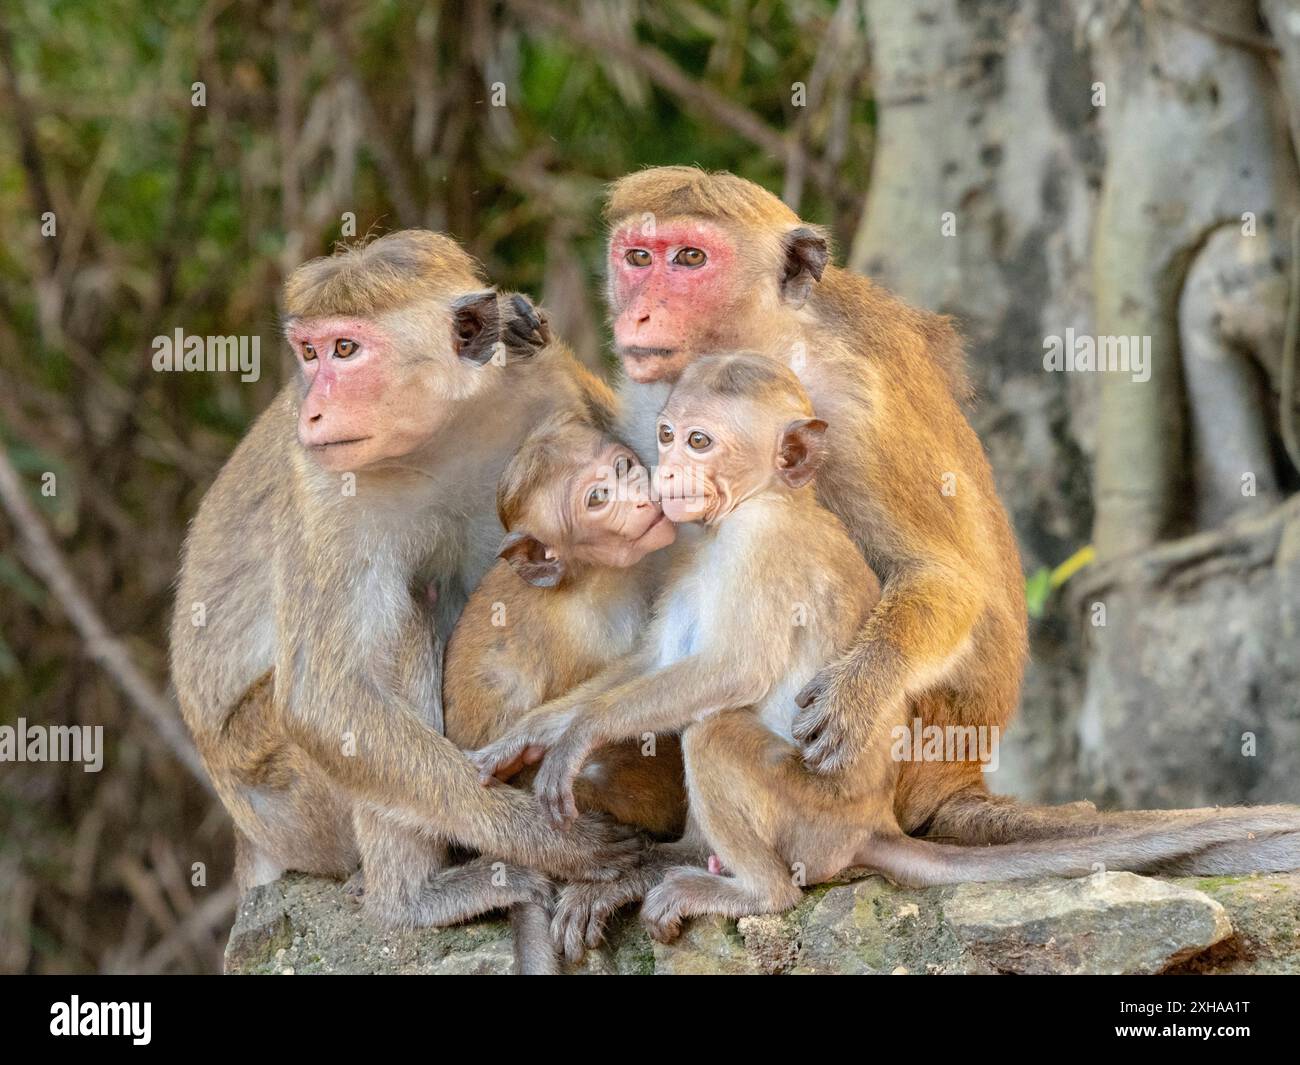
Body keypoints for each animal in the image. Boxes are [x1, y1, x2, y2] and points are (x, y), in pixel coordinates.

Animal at [170, 230, 643, 975]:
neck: (445, 429)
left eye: (345, 349)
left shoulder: (552, 392)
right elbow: (327, 701)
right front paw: (553, 842)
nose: (313, 409)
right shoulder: (326, 481)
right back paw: (410, 899)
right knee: (401, 622)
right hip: (277, 790)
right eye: (310, 353)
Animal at [473, 354, 1300, 943]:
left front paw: (577, 739)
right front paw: (533, 735)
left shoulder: (763, 547)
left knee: (714, 737)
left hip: (816, 817)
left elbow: (729, 672)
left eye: (702, 441)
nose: (670, 472)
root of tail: (875, 822)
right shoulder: (685, 548)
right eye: (669, 436)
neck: (751, 505)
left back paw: (752, 889)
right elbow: (654, 663)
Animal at [587, 165, 1300, 872]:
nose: (640, 309)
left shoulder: (850, 409)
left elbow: (940, 576)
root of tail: (960, 775)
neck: (769, 341)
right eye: (638, 257)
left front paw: (857, 693)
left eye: (691, 259)